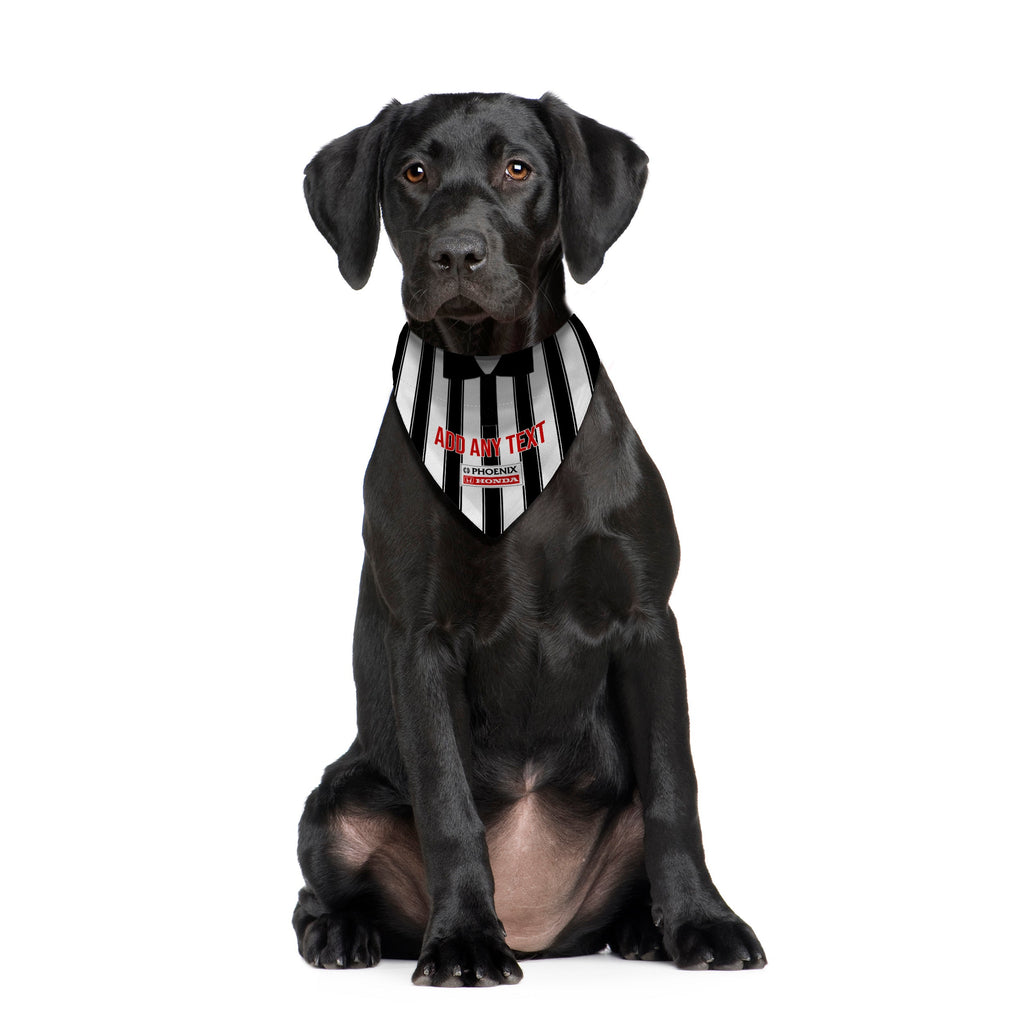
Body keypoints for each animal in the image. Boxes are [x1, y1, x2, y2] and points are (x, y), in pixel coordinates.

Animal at [293, 92, 766, 986]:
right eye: (414, 172)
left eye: (519, 168)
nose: (456, 252)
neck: (494, 394)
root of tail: (544, 930)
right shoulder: (422, 640)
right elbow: (448, 804)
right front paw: (464, 938)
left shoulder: (648, 622)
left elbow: (676, 792)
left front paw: (702, 921)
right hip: (335, 797)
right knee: (319, 883)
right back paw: (344, 932)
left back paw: (645, 928)